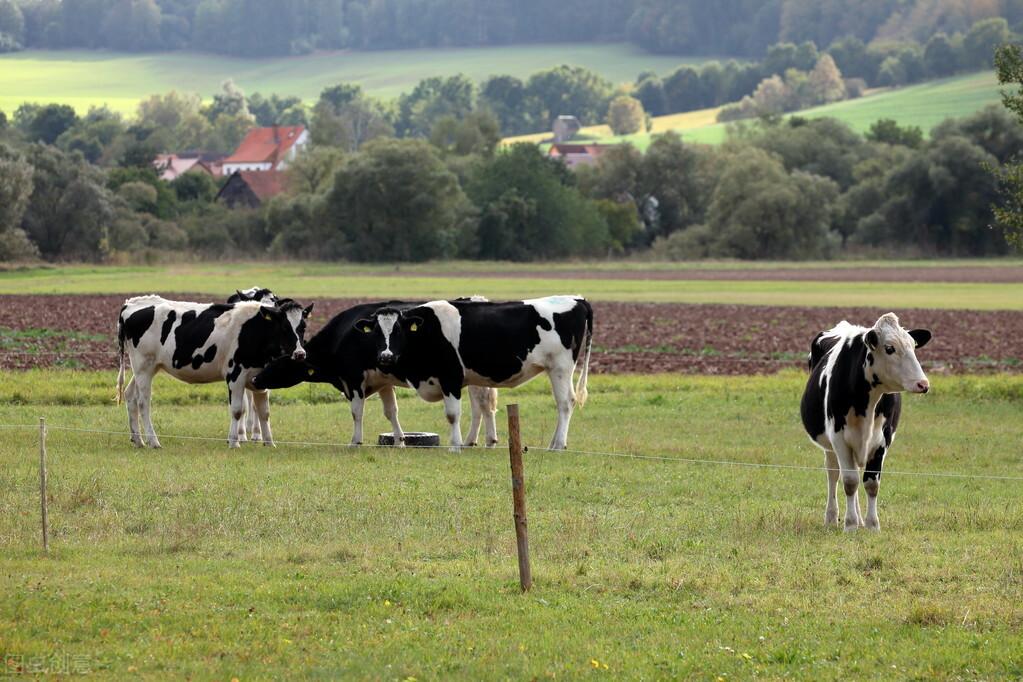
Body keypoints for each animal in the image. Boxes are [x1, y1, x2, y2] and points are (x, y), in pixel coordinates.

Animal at [116, 294, 310, 447]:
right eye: (284, 327)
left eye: (303, 326)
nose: (300, 353)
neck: (255, 331)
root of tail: (131, 303)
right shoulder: (235, 376)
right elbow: (237, 410)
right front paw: (234, 442)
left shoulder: (259, 379)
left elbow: (264, 412)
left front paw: (269, 443)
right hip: (143, 367)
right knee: (143, 402)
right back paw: (153, 441)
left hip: (145, 368)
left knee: (130, 396)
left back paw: (138, 440)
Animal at [251, 298, 499, 447]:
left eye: (276, 365)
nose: (255, 378)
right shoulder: (383, 381)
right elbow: (391, 411)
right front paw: (400, 441)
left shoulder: (354, 379)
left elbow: (357, 412)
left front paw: (356, 442)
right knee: (482, 406)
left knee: (482, 406)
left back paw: (481, 440)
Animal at [343, 294, 593, 449]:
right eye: (376, 332)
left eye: (398, 330)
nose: (386, 356)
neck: (428, 332)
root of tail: (576, 298)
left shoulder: (451, 378)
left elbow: (453, 414)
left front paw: (455, 446)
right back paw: (553, 443)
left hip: (560, 368)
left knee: (565, 403)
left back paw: (558, 445)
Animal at [797, 314, 937, 531]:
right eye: (889, 348)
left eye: (913, 346)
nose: (923, 384)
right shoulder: (838, 438)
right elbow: (850, 481)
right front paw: (850, 524)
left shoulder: (882, 439)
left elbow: (871, 483)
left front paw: (871, 525)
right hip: (830, 447)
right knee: (833, 474)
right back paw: (831, 517)